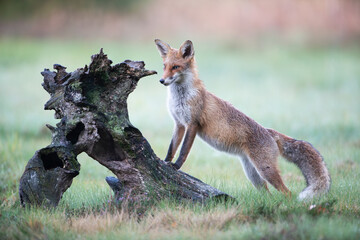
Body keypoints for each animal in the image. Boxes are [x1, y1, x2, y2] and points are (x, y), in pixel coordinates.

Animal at [153, 39, 330, 201]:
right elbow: (172, 148)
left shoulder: (193, 123)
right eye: (164, 66)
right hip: (252, 173)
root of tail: (269, 132)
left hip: (266, 170)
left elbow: (183, 151)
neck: (181, 97)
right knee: (268, 195)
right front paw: (165, 162)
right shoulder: (179, 124)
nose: (161, 81)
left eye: (175, 67)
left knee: (288, 193)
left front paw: (176, 166)